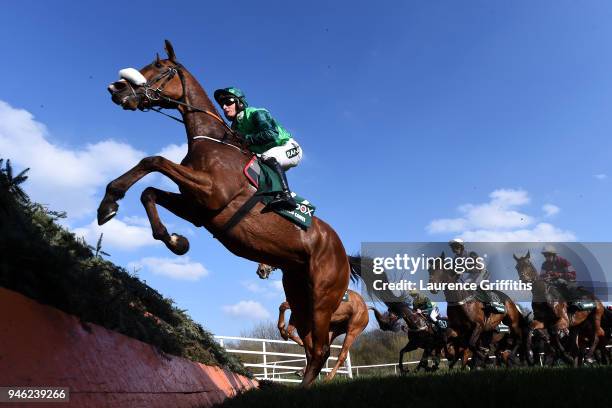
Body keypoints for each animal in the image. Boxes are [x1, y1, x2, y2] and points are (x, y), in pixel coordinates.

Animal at [98, 40, 352, 386]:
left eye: (161, 70)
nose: (116, 88)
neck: (211, 141)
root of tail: (343, 252)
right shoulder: (197, 207)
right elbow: (149, 191)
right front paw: (175, 241)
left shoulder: (211, 193)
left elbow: (154, 160)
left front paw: (110, 201)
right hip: (298, 291)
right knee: (314, 347)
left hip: (323, 297)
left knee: (322, 348)